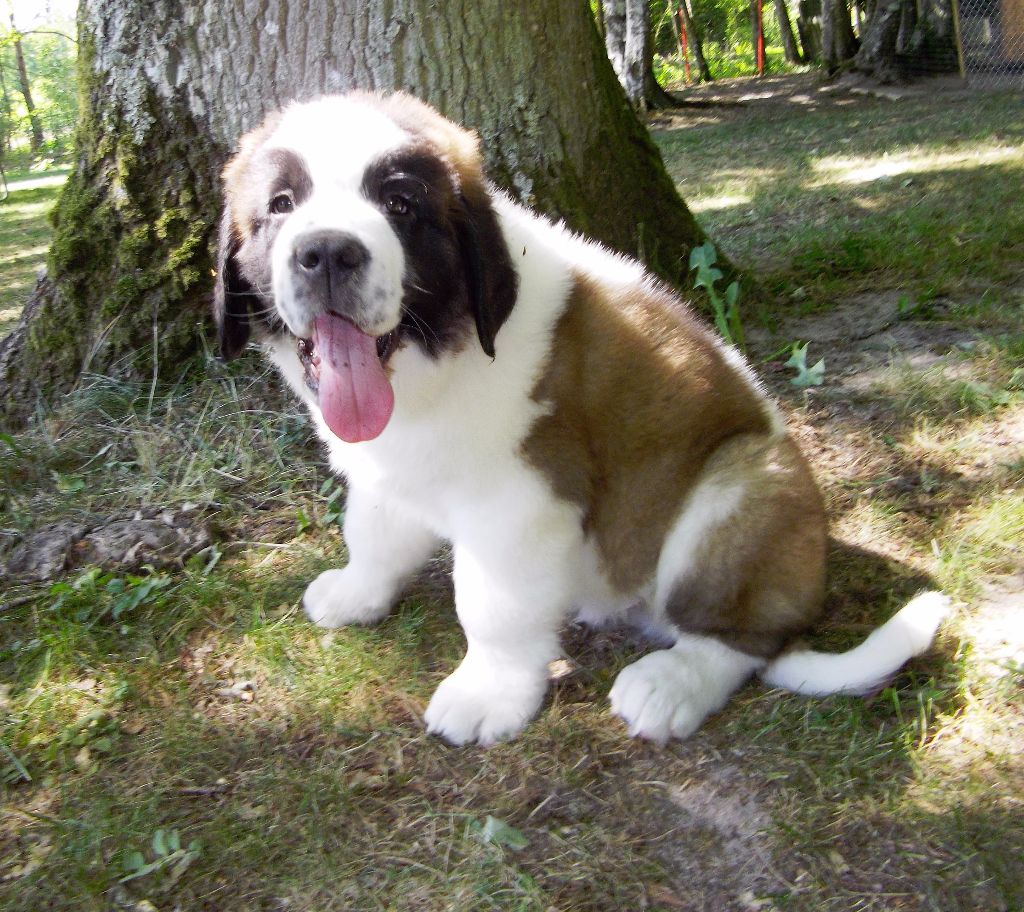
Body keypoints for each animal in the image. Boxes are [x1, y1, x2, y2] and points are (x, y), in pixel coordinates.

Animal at [213, 92, 948, 745]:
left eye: (399, 205)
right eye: (281, 205)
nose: (328, 253)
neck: (435, 358)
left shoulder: (517, 505)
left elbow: (492, 607)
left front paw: (487, 693)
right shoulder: (389, 469)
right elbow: (374, 532)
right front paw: (357, 592)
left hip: (744, 488)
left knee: (742, 639)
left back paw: (673, 683)